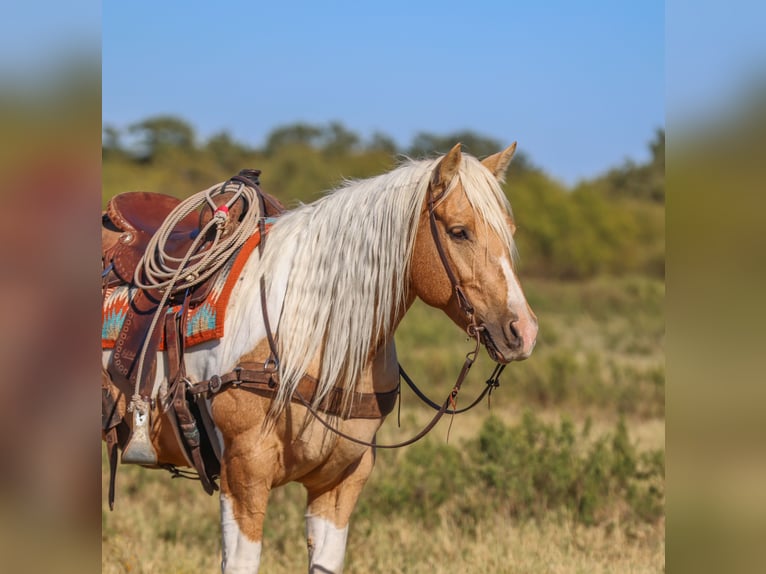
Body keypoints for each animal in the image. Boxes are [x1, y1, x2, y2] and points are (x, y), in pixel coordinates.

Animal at [102, 143, 538, 573]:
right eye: (459, 231)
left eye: (510, 231)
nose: (524, 331)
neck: (308, 332)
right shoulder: (243, 474)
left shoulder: (339, 483)